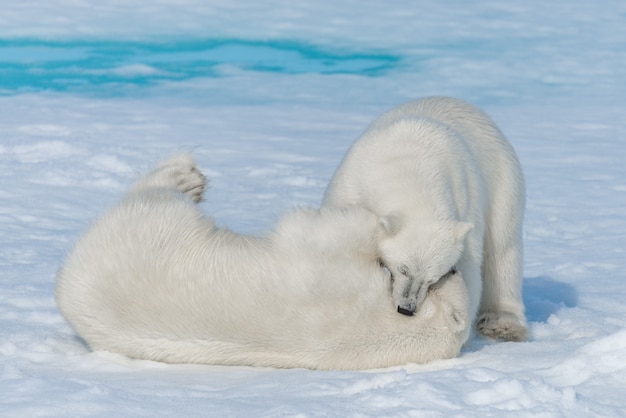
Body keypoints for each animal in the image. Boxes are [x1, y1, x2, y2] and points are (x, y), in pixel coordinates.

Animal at [56, 153, 468, 370]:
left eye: (445, 273)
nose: (457, 269)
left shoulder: (333, 284)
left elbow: (327, 231)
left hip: (148, 230)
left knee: (153, 196)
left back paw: (186, 177)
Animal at [322, 96, 528, 342]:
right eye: (402, 269)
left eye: (433, 278)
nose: (407, 308)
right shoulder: (352, 182)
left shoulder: (465, 198)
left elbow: (469, 267)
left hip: (503, 181)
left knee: (502, 248)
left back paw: (503, 324)